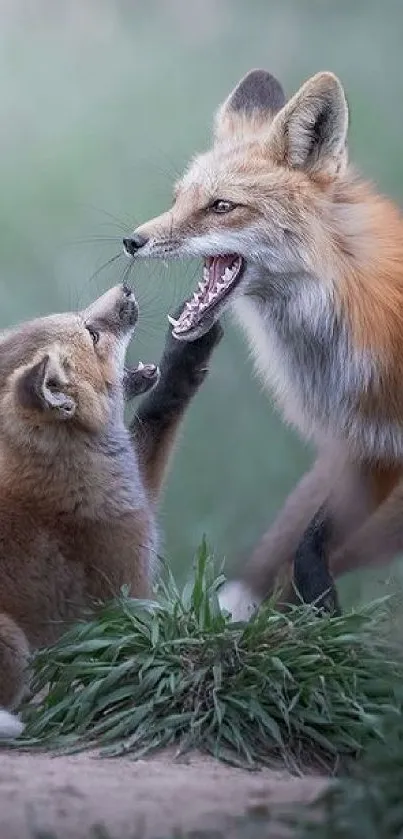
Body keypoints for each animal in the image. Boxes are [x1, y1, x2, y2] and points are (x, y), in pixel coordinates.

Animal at [124, 70, 403, 616]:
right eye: (177, 199)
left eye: (221, 207)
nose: (132, 241)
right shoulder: (371, 443)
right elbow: (309, 540)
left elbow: (309, 543)